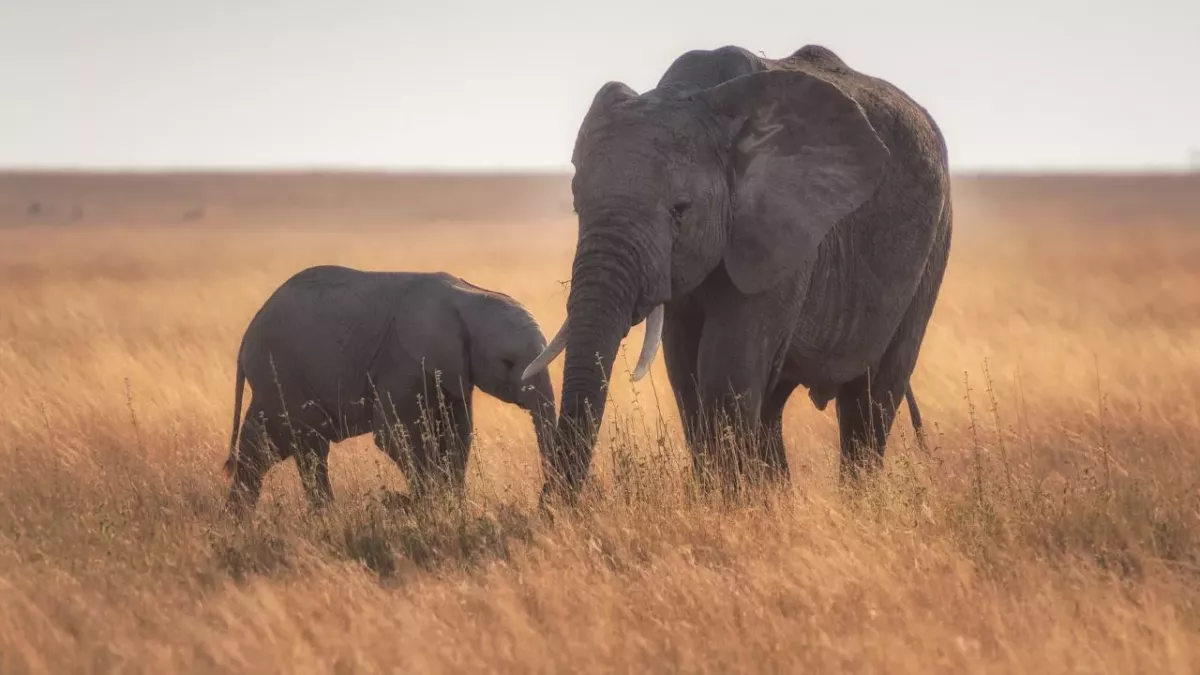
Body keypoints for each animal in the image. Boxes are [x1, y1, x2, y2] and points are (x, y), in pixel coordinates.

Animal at [222, 265, 556, 514]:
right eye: (507, 362)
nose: (545, 499)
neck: (470, 296)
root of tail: (246, 336)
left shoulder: (453, 371)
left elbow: (457, 434)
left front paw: (453, 508)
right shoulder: (403, 360)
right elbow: (395, 435)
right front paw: (430, 508)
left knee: (265, 446)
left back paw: (240, 519)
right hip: (283, 373)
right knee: (306, 446)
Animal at [522, 44, 952, 499]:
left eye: (680, 210)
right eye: (577, 205)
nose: (552, 510)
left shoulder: (783, 233)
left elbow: (725, 369)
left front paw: (729, 506)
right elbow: (685, 371)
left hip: (934, 246)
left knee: (871, 399)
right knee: (774, 406)